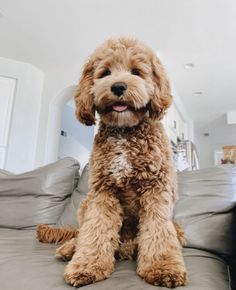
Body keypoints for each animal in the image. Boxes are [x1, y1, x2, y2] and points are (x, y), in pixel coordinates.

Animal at [37, 36, 187, 288]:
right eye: (105, 72)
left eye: (136, 72)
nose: (117, 87)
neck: (125, 132)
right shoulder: (102, 192)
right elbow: (96, 230)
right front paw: (87, 265)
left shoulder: (156, 190)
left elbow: (157, 231)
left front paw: (162, 267)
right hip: (85, 203)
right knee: (82, 233)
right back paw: (69, 249)